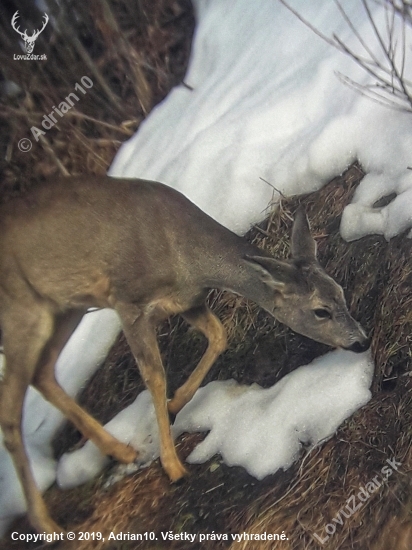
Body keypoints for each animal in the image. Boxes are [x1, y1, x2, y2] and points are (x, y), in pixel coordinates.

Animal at [0, 176, 368, 536]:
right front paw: (173, 466)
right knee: (10, 412)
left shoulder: (189, 301)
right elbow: (155, 376)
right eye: (321, 311)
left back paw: (120, 450)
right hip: (21, 314)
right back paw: (46, 524)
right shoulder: (127, 302)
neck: (186, 257)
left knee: (42, 373)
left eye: (341, 292)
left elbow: (219, 336)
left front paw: (176, 403)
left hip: (65, 306)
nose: (362, 342)